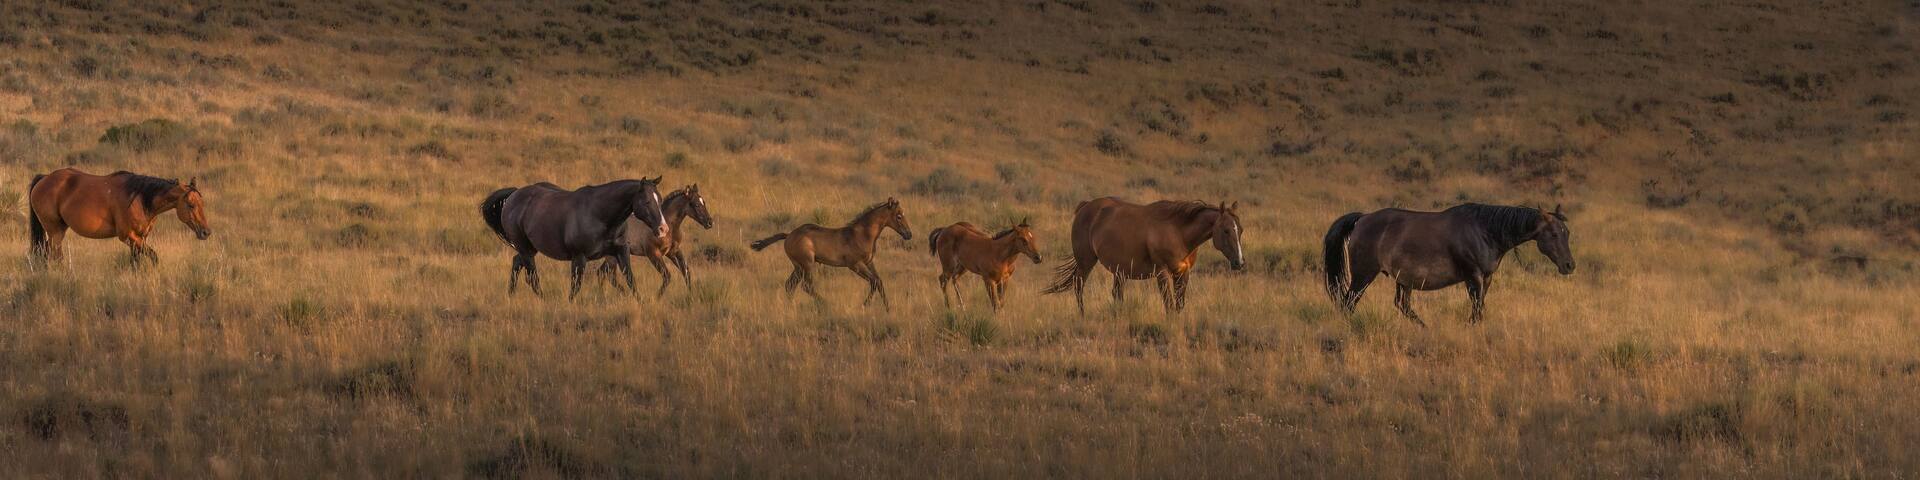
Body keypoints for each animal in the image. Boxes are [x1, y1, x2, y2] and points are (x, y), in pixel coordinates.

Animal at [27, 168, 212, 267]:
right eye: (191, 205)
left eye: (202, 204)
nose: (206, 232)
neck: (140, 198)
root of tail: (44, 178)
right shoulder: (128, 236)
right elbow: (153, 257)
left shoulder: (140, 238)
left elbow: (135, 261)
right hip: (55, 231)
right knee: (54, 254)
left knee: (45, 251)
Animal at [480, 177, 668, 301]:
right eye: (646, 201)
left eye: (659, 200)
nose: (663, 229)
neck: (599, 215)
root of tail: (513, 196)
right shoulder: (579, 257)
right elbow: (575, 287)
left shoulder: (621, 252)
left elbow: (630, 280)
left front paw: (640, 303)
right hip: (526, 249)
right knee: (532, 277)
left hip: (529, 249)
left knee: (517, 264)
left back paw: (510, 295)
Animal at [749, 198, 912, 310]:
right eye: (898, 216)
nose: (908, 234)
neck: (862, 235)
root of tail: (789, 235)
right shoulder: (855, 265)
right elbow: (874, 282)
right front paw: (864, 305)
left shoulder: (869, 263)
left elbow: (879, 281)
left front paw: (888, 308)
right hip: (807, 264)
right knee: (806, 286)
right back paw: (825, 304)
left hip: (798, 267)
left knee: (790, 285)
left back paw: (790, 306)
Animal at [1042, 198, 1246, 314]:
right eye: (1226, 230)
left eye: (1240, 229)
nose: (1240, 262)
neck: (1177, 231)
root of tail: (1085, 207)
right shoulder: (1162, 273)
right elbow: (1169, 305)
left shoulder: (1183, 273)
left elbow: (1179, 305)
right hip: (1086, 262)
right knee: (1079, 287)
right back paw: (1082, 316)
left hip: (1119, 272)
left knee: (1116, 294)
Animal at [1322, 203, 1574, 326]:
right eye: (1553, 234)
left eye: (1567, 233)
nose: (1569, 265)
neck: (1484, 231)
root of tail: (1362, 218)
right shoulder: (1473, 276)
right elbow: (1476, 307)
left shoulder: (1487, 277)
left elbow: (1480, 307)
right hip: (1363, 275)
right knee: (1348, 303)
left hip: (1403, 280)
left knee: (1402, 305)